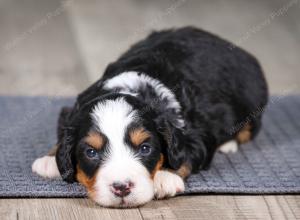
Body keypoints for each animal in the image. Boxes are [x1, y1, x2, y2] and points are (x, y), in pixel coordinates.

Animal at [31, 26, 268, 207]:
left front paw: (165, 177)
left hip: (252, 104)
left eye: (145, 148)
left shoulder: (197, 133)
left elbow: (187, 154)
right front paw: (50, 160)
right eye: (91, 152)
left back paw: (228, 144)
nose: (122, 187)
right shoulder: (72, 111)